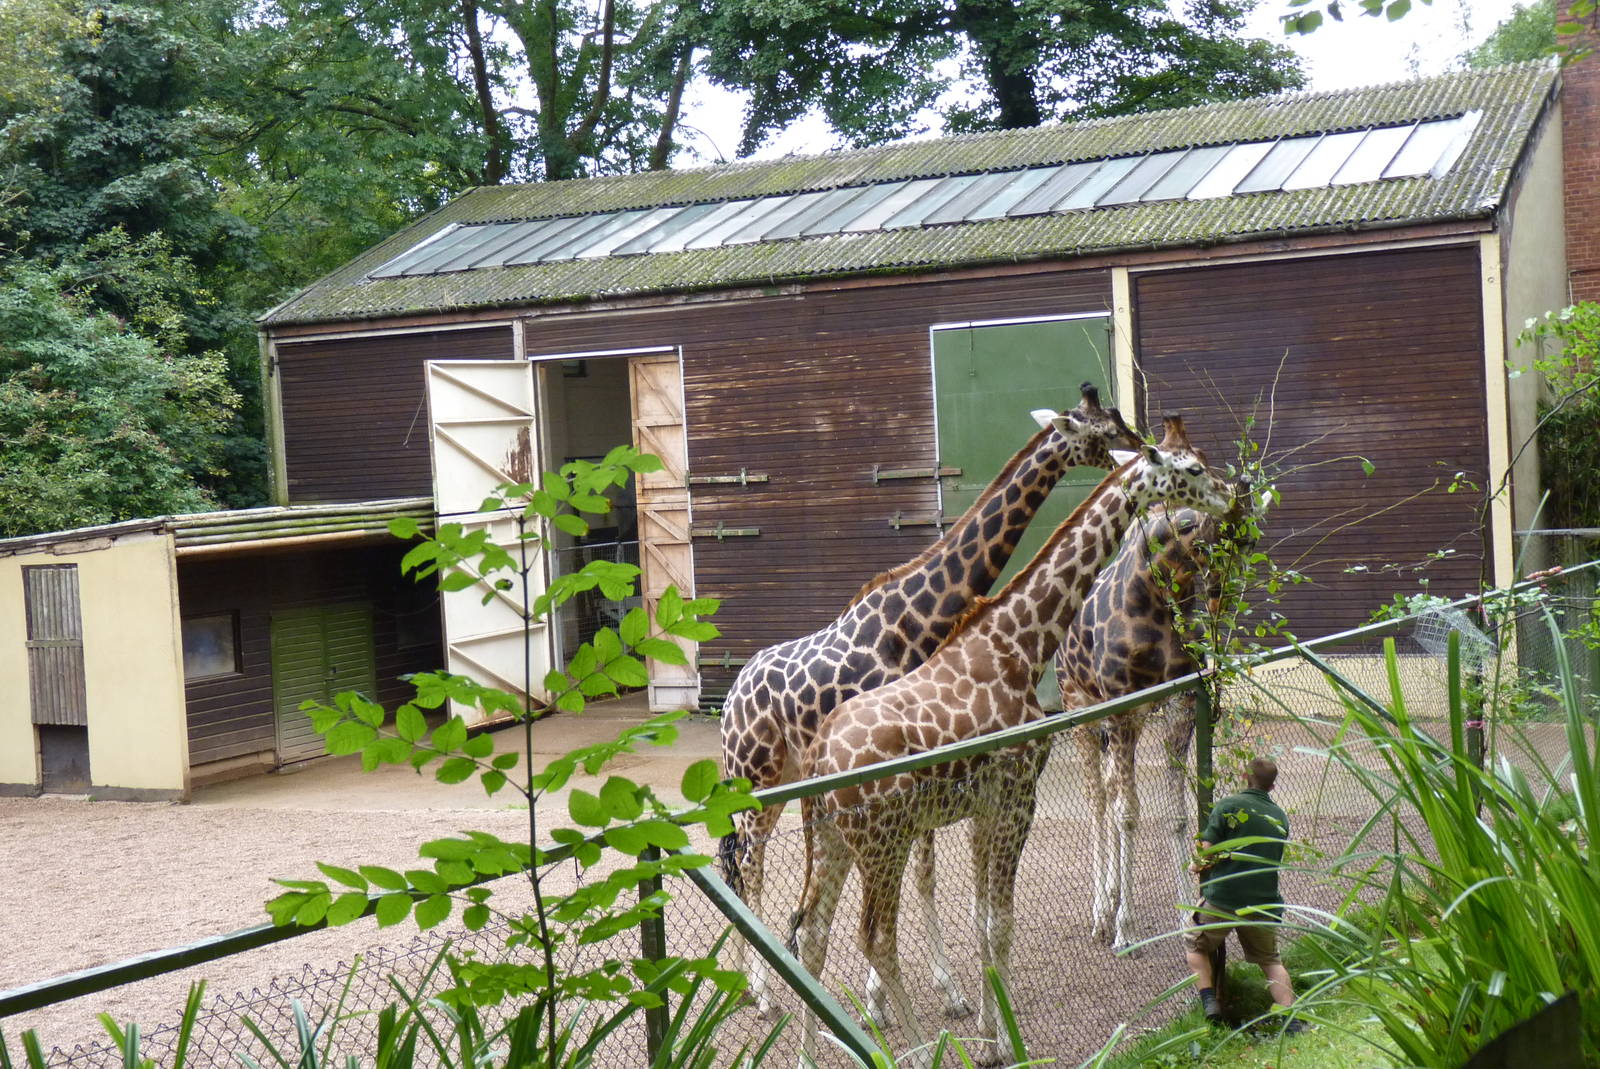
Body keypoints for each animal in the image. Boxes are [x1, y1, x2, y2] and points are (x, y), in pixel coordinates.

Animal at [718, 383, 1140, 1015]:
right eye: (1106, 429)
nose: (1141, 445)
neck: (919, 619)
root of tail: (728, 699)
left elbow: (926, 875)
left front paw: (929, 992)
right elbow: (916, 877)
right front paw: (899, 998)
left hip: (785, 777)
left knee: (747, 862)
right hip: (756, 778)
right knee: (749, 865)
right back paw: (762, 993)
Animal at [1055, 504, 1223, 955]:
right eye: (1189, 528)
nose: (1216, 590)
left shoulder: (1180, 702)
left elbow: (1178, 815)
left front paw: (1187, 917)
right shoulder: (1119, 705)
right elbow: (1128, 814)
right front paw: (1124, 930)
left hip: (1134, 717)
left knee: (1112, 789)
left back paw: (1112, 896)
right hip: (1081, 708)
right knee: (1099, 799)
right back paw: (1100, 913)